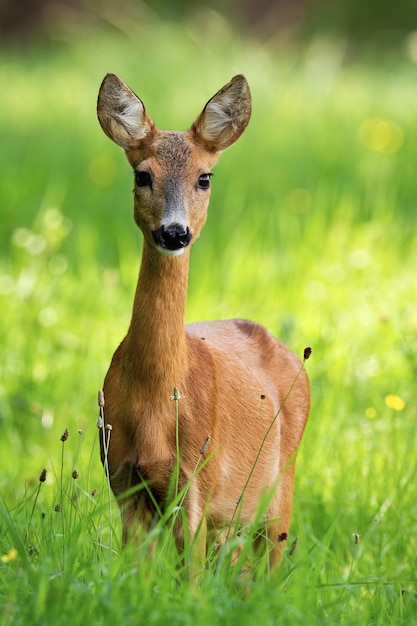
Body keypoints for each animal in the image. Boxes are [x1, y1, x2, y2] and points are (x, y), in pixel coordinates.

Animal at [95, 72, 308, 572]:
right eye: (142, 175)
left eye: (204, 177)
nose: (174, 232)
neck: (155, 402)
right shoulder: (125, 480)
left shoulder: (196, 481)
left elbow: (189, 576)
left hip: (281, 485)